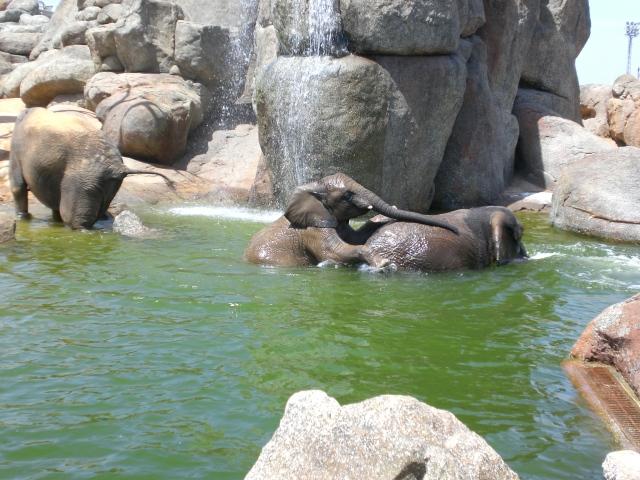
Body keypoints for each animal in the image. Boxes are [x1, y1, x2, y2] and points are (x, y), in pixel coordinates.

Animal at [9, 107, 173, 230]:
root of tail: (117, 167)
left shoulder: (17, 149)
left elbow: (17, 186)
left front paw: (23, 218)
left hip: (82, 179)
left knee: (73, 219)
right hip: (106, 183)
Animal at [244, 173, 459, 268]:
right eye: (347, 195)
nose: (456, 230)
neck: (315, 187)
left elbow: (356, 238)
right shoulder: (313, 229)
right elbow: (335, 252)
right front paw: (384, 264)